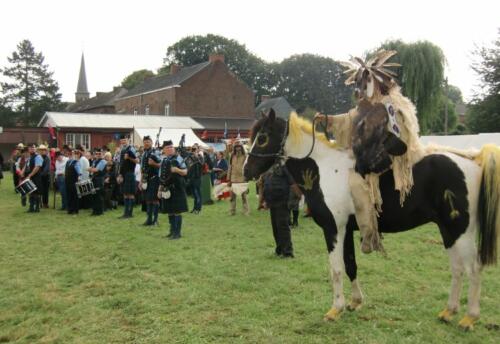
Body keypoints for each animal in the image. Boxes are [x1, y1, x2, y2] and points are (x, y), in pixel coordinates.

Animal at [241, 110, 496, 330]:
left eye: (262, 138)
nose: (245, 171)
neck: (324, 169)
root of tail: (473, 160)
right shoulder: (347, 231)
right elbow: (350, 265)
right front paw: (354, 302)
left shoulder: (333, 229)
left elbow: (336, 269)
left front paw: (335, 309)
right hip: (448, 231)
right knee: (457, 268)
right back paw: (449, 311)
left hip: (461, 231)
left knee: (474, 269)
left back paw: (469, 318)